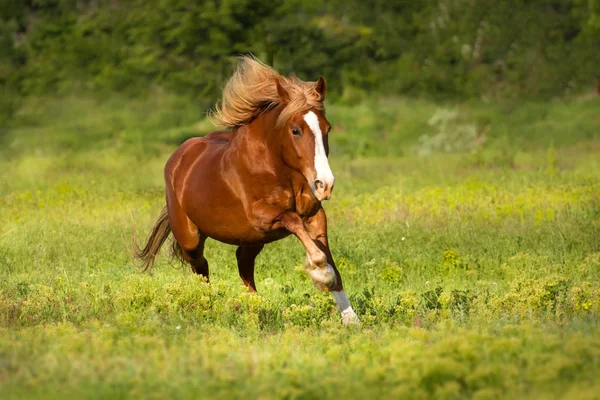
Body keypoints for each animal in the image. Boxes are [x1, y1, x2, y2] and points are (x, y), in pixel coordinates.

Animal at [134, 56, 358, 324]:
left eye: (327, 128)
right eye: (295, 130)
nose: (324, 184)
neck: (275, 168)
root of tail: (178, 158)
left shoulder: (314, 215)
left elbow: (330, 260)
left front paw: (351, 319)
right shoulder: (260, 215)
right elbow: (294, 222)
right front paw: (320, 272)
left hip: (252, 241)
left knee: (243, 265)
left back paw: (254, 308)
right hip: (191, 239)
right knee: (201, 268)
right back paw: (208, 305)